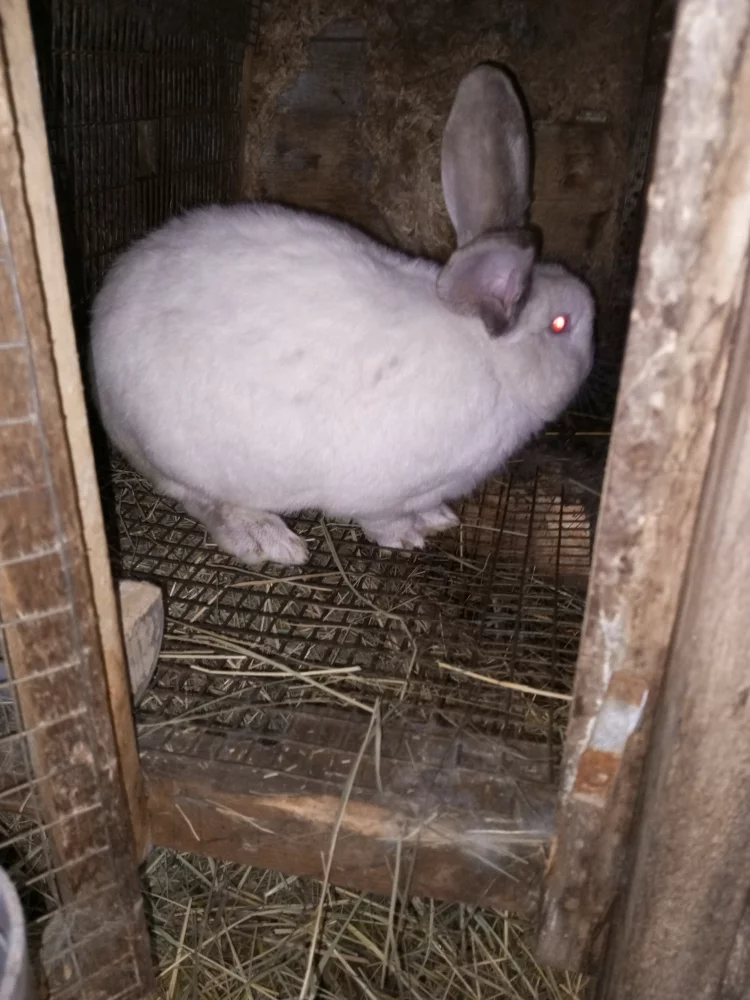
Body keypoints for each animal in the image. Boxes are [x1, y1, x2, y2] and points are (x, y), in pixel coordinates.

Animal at [89, 65, 594, 567]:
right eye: (560, 325)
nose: (595, 333)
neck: (494, 364)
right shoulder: (383, 492)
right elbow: (382, 520)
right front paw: (408, 537)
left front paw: (437, 517)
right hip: (181, 457)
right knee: (201, 500)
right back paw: (266, 538)